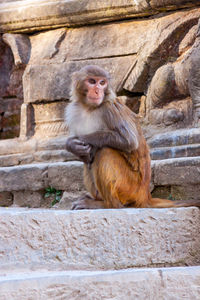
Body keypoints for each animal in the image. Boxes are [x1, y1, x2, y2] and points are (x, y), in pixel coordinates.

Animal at [65, 64, 199, 210]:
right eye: (92, 81)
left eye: (102, 83)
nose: (97, 91)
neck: (88, 108)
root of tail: (145, 196)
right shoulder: (73, 111)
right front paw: (73, 146)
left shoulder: (109, 108)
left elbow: (129, 140)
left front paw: (75, 142)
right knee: (89, 159)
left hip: (129, 187)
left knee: (104, 151)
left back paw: (106, 205)